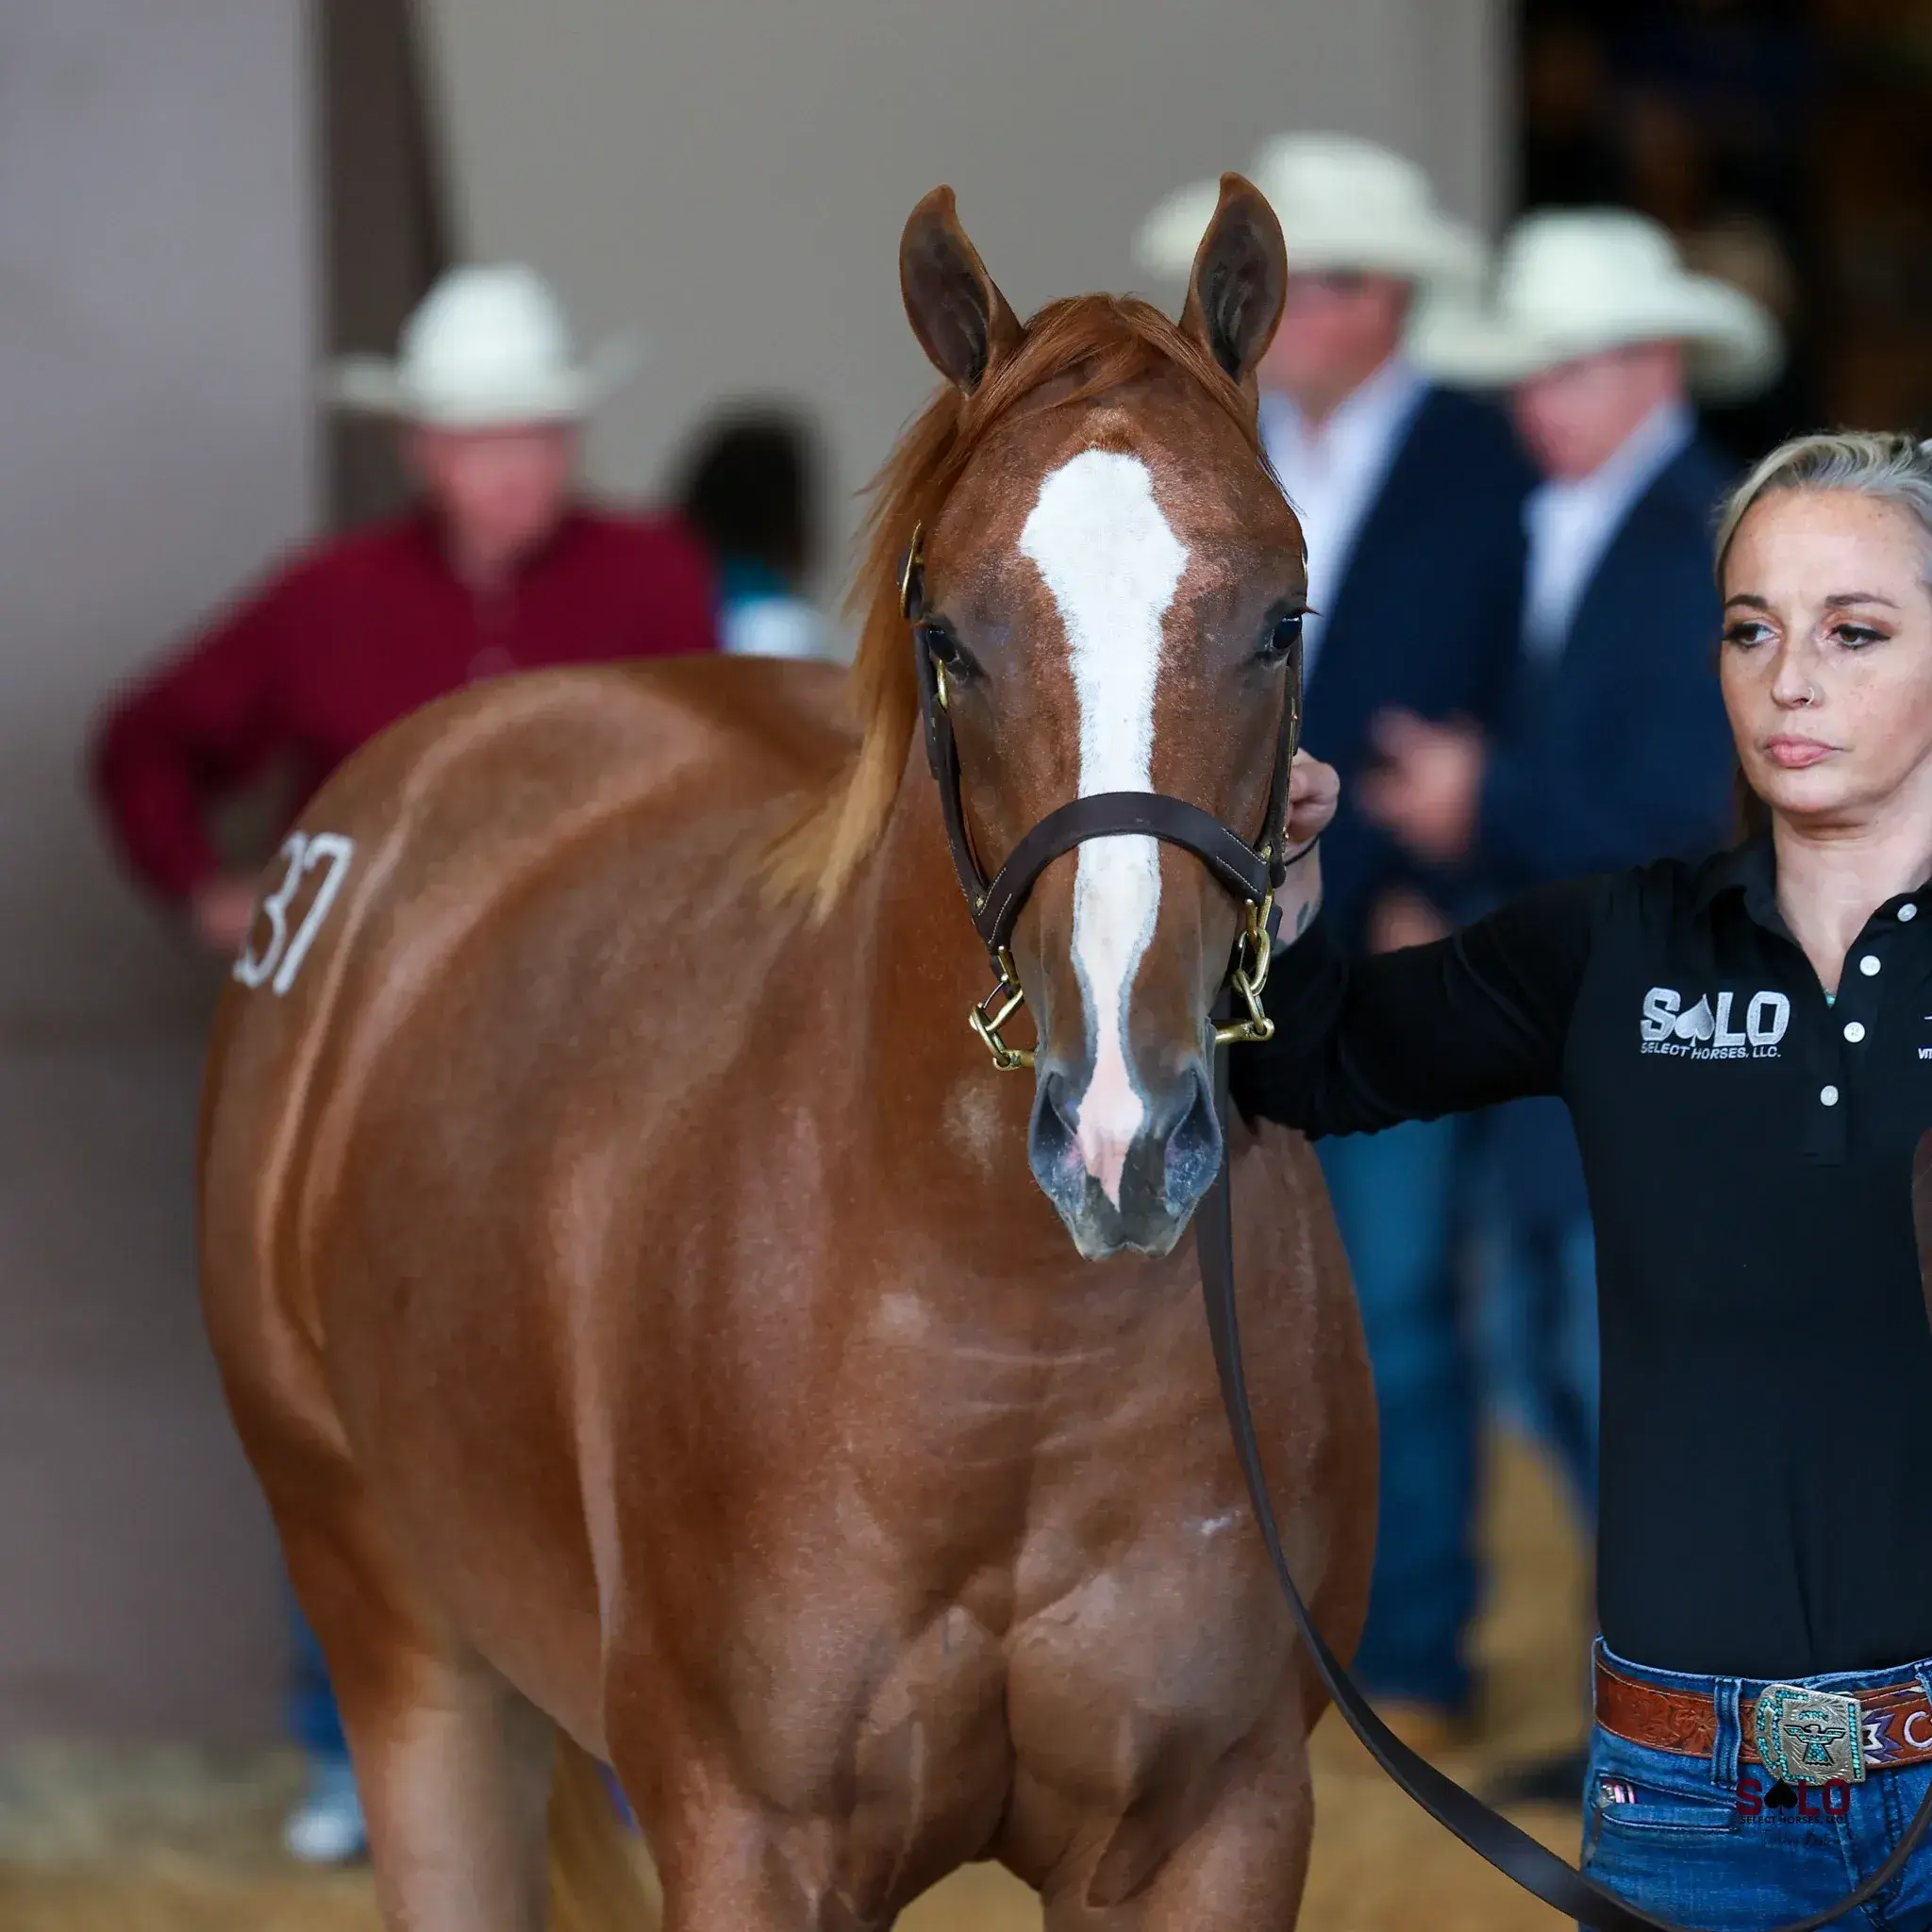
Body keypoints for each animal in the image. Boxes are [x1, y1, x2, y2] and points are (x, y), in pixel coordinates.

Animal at [198, 173, 1374, 1931]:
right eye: (950, 633)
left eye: (1280, 617)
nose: (1121, 1130)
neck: (1009, 1349)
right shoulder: (750, 1834)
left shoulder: (1214, 1826)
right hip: (403, 1650)